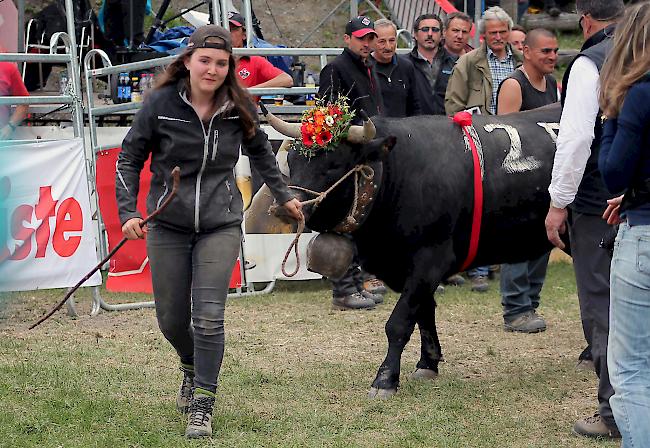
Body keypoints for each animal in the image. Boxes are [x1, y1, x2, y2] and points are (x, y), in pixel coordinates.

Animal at [266, 104, 560, 396]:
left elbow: (399, 322)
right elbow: (424, 314)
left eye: (334, 165)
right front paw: (428, 363)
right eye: (291, 160)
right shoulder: (409, 269)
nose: (286, 208)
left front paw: (385, 379)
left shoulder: (430, 260)